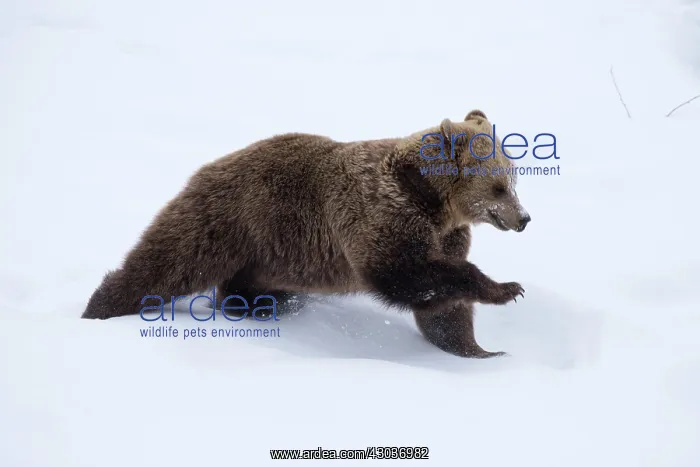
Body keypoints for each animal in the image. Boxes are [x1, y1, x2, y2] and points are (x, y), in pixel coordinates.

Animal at [82, 109, 531, 358]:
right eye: (499, 186)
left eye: (513, 178)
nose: (523, 218)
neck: (431, 200)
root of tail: (206, 166)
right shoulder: (379, 214)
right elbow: (407, 273)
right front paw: (506, 288)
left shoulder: (446, 234)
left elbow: (443, 307)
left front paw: (482, 350)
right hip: (230, 218)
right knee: (170, 260)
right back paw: (100, 307)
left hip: (267, 252)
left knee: (244, 287)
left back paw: (259, 308)